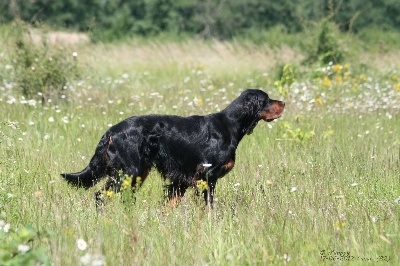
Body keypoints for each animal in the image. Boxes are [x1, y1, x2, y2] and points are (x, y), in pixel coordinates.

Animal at [61, 89, 284, 206]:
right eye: (266, 99)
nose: (283, 103)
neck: (229, 125)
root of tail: (111, 131)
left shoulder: (182, 178)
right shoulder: (207, 175)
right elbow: (208, 205)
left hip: (137, 173)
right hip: (128, 171)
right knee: (100, 195)